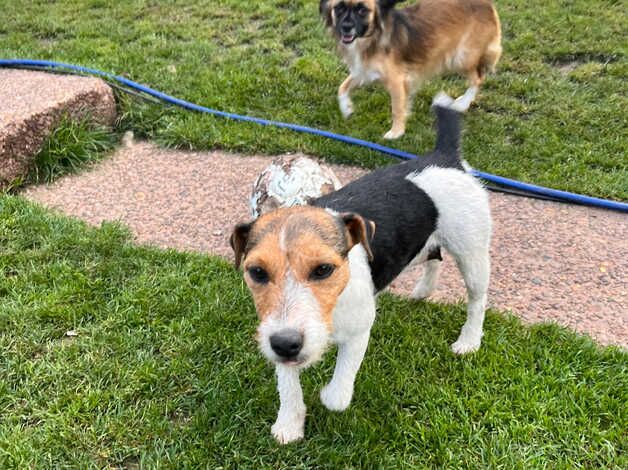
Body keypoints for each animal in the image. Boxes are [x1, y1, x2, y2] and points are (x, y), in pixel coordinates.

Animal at [229, 93, 490, 442]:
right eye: (257, 272)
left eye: (323, 269)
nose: (287, 344)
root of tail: (445, 156)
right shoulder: (276, 330)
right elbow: (288, 385)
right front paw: (289, 424)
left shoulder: (358, 330)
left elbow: (338, 393)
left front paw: (327, 396)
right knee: (433, 258)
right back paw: (423, 290)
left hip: (472, 252)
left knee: (476, 300)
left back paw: (469, 341)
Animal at [318, 0, 500, 139]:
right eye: (339, 8)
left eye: (362, 10)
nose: (346, 27)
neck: (371, 37)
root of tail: (487, 3)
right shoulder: (364, 70)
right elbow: (342, 87)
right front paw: (346, 108)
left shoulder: (397, 80)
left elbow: (397, 108)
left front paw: (396, 132)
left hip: (460, 58)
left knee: (478, 78)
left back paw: (462, 103)